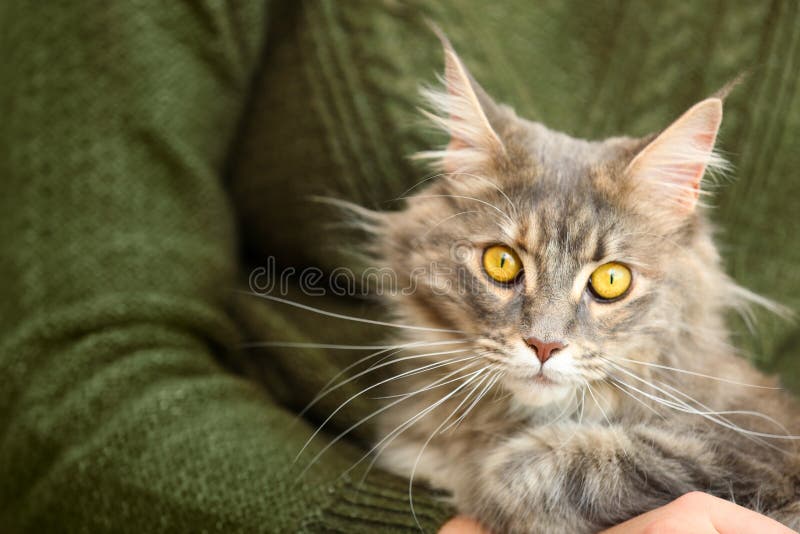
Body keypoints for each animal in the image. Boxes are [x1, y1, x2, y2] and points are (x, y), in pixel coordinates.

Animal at [360, 34, 800, 534]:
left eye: (611, 279)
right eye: (501, 262)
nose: (544, 345)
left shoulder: (748, 452)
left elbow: (538, 469)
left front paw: (482, 483)